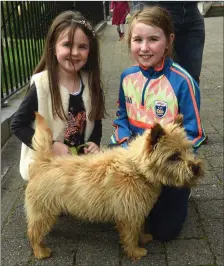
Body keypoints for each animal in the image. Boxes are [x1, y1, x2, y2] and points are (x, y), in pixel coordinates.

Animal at [25, 112, 204, 260]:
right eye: (173, 156)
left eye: (188, 149)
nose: (196, 167)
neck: (137, 170)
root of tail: (44, 162)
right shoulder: (130, 215)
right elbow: (131, 235)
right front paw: (135, 252)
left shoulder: (137, 212)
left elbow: (139, 228)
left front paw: (144, 238)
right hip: (43, 210)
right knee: (33, 232)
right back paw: (40, 251)